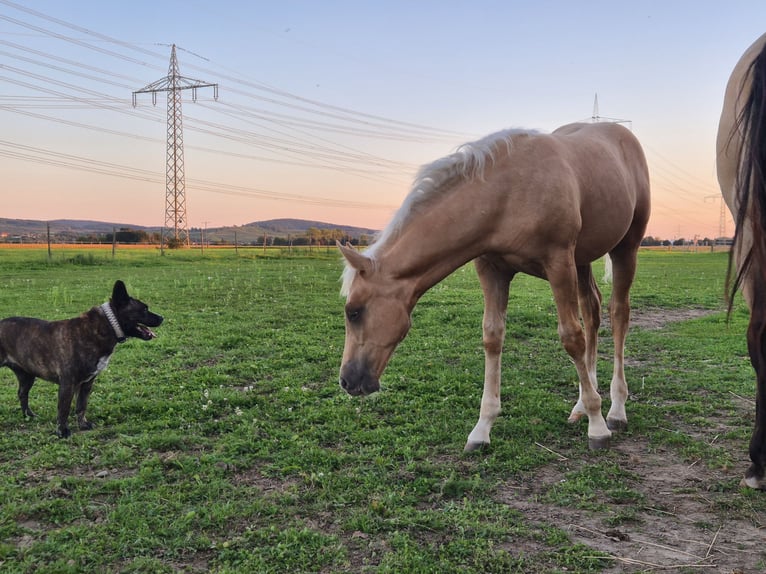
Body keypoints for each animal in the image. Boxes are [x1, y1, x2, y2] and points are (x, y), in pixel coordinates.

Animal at [338, 121, 650, 451]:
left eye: (353, 311)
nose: (347, 381)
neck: (505, 194)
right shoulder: (492, 269)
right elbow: (492, 336)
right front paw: (482, 428)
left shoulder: (559, 263)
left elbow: (571, 337)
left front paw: (597, 425)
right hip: (583, 260)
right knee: (592, 311)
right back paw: (580, 405)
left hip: (625, 248)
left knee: (618, 314)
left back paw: (615, 409)